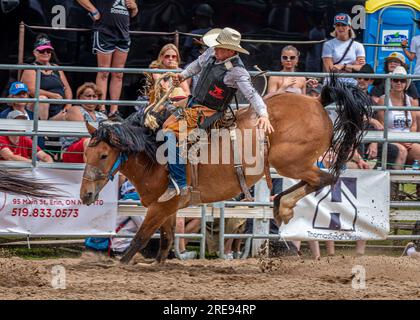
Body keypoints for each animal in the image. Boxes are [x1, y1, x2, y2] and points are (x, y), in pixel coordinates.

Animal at [79, 75, 370, 264]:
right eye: (85, 153)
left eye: (103, 155)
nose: (85, 195)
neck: (155, 152)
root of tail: (318, 102)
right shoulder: (168, 207)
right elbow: (166, 241)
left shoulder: (161, 206)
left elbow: (139, 240)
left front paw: (120, 265)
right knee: (319, 180)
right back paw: (280, 205)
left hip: (290, 162)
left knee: (326, 178)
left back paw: (284, 206)